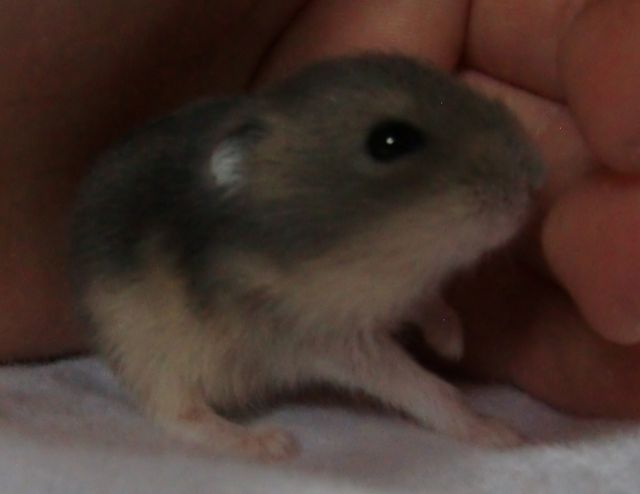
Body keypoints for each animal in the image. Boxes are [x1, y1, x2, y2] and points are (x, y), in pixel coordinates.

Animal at [70, 54, 544, 461]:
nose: (533, 182)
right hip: (147, 352)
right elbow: (419, 385)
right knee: (177, 413)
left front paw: (453, 345)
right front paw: (501, 434)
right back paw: (267, 443)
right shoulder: (327, 338)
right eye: (390, 141)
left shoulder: (393, 295)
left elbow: (428, 303)